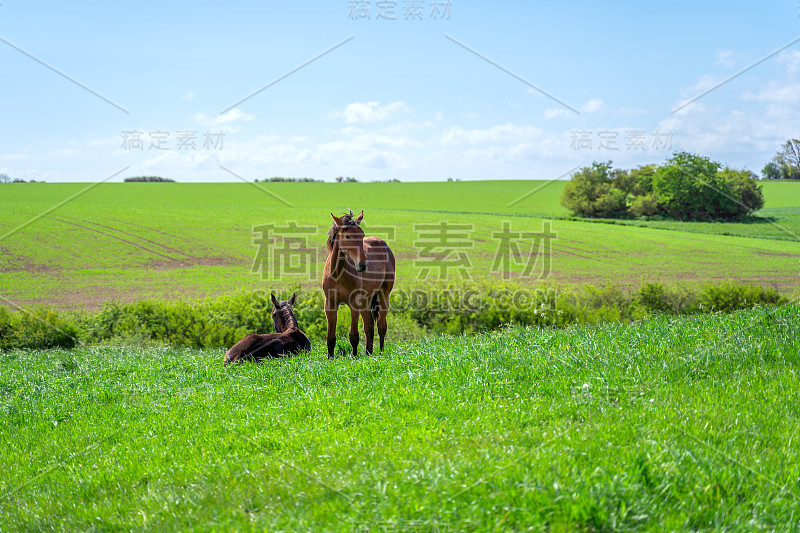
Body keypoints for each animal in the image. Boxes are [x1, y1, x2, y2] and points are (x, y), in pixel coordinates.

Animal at [324, 209, 396, 358]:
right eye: (347, 236)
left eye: (362, 235)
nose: (362, 265)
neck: (337, 274)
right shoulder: (330, 305)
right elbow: (330, 337)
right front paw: (330, 359)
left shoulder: (354, 303)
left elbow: (354, 335)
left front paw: (355, 357)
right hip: (365, 301)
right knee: (369, 327)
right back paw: (369, 353)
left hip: (383, 295)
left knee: (381, 325)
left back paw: (380, 352)